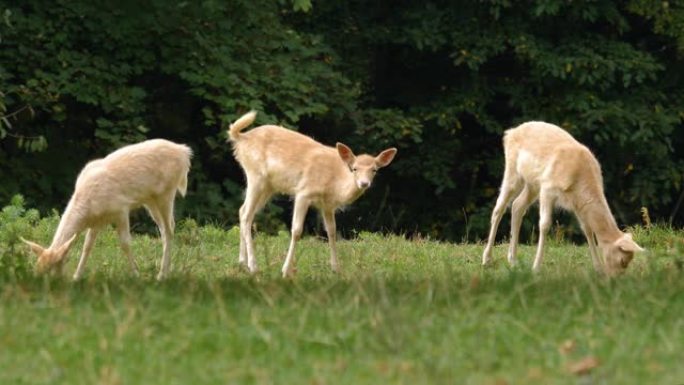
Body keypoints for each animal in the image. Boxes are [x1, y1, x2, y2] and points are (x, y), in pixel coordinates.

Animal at [21, 138, 191, 280]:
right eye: (37, 269)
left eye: (51, 270)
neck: (88, 208)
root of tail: (185, 153)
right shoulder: (96, 221)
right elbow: (87, 246)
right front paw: (76, 277)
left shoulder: (121, 209)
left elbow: (125, 243)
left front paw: (136, 275)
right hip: (150, 200)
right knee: (164, 228)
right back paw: (165, 271)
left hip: (167, 193)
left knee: (169, 229)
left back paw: (162, 275)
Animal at [227, 110, 398, 276]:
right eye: (354, 168)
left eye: (374, 170)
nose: (364, 183)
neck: (334, 183)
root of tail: (241, 138)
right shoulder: (304, 192)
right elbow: (296, 231)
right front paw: (286, 270)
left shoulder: (327, 205)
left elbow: (332, 231)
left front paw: (336, 269)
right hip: (256, 176)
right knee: (247, 214)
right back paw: (253, 266)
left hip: (269, 186)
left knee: (243, 210)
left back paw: (242, 263)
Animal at [478, 121, 644, 274]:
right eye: (623, 260)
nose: (615, 279)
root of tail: (509, 133)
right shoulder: (548, 188)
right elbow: (545, 224)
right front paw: (536, 268)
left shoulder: (577, 202)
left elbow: (587, 228)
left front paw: (598, 269)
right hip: (513, 172)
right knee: (499, 208)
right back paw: (487, 259)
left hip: (533, 184)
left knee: (517, 205)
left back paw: (512, 260)